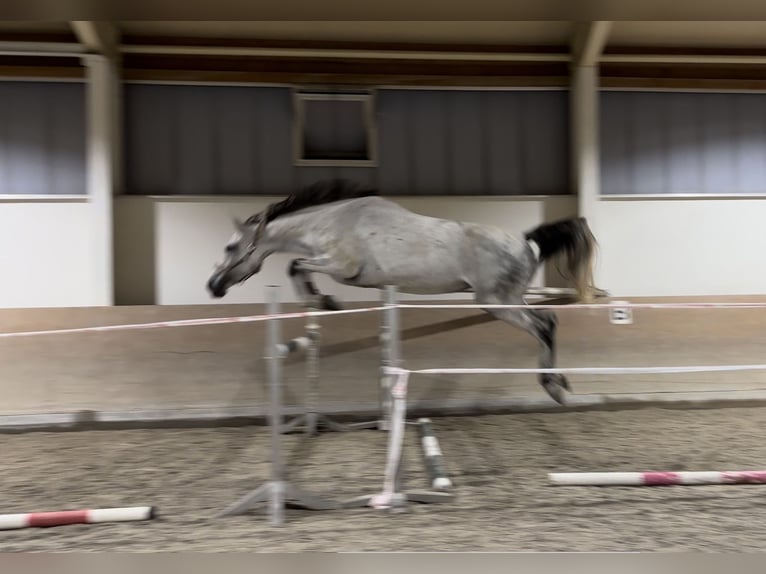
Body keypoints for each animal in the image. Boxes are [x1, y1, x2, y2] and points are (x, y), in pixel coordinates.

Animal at [208, 180, 600, 404]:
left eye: (230, 247)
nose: (213, 286)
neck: (331, 222)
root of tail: (525, 239)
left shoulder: (343, 268)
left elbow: (296, 265)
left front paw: (323, 301)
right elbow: (298, 265)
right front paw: (322, 302)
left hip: (497, 303)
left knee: (544, 325)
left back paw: (552, 387)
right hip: (509, 299)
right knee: (548, 321)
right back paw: (559, 382)